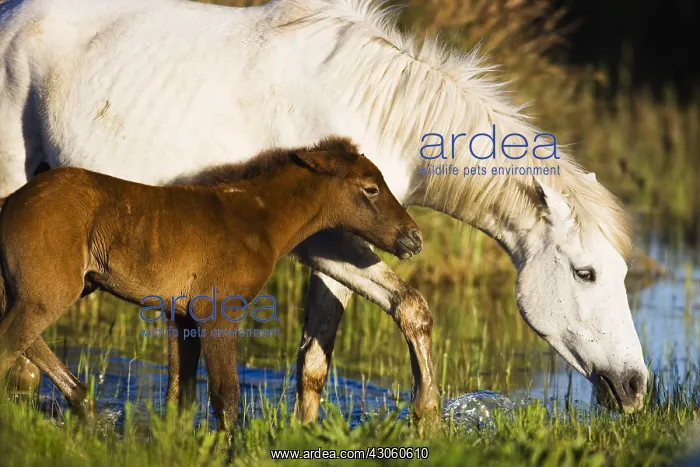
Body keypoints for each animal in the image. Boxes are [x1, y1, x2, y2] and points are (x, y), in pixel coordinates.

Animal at [0, 136, 424, 428]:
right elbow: (226, 395)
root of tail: (9, 204)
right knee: (11, 343)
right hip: (48, 292)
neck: (258, 220)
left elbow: (179, 393)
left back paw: (85, 404)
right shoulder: (218, 312)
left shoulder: (181, 316)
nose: (414, 238)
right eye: (371, 188)